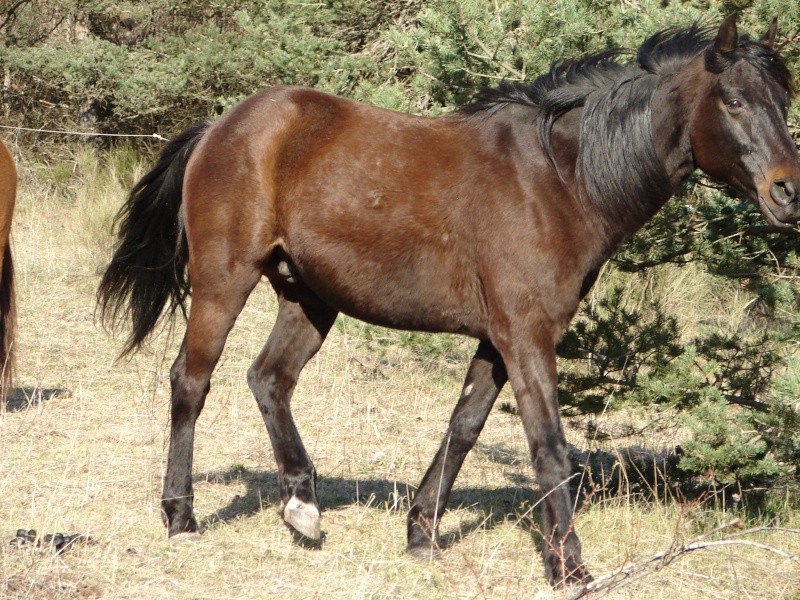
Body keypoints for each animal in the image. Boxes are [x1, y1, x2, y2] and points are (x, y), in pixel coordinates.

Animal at [98, 15, 800, 584]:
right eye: (734, 100)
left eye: (784, 100)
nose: (788, 192)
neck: (559, 180)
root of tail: (222, 124)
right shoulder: (526, 336)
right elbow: (549, 449)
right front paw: (569, 565)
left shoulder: (498, 338)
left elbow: (463, 428)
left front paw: (421, 531)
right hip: (225, 281)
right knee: (191, 381)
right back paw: (181, 516)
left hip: (309, 297)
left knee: (269, 378)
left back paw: (302, 504)